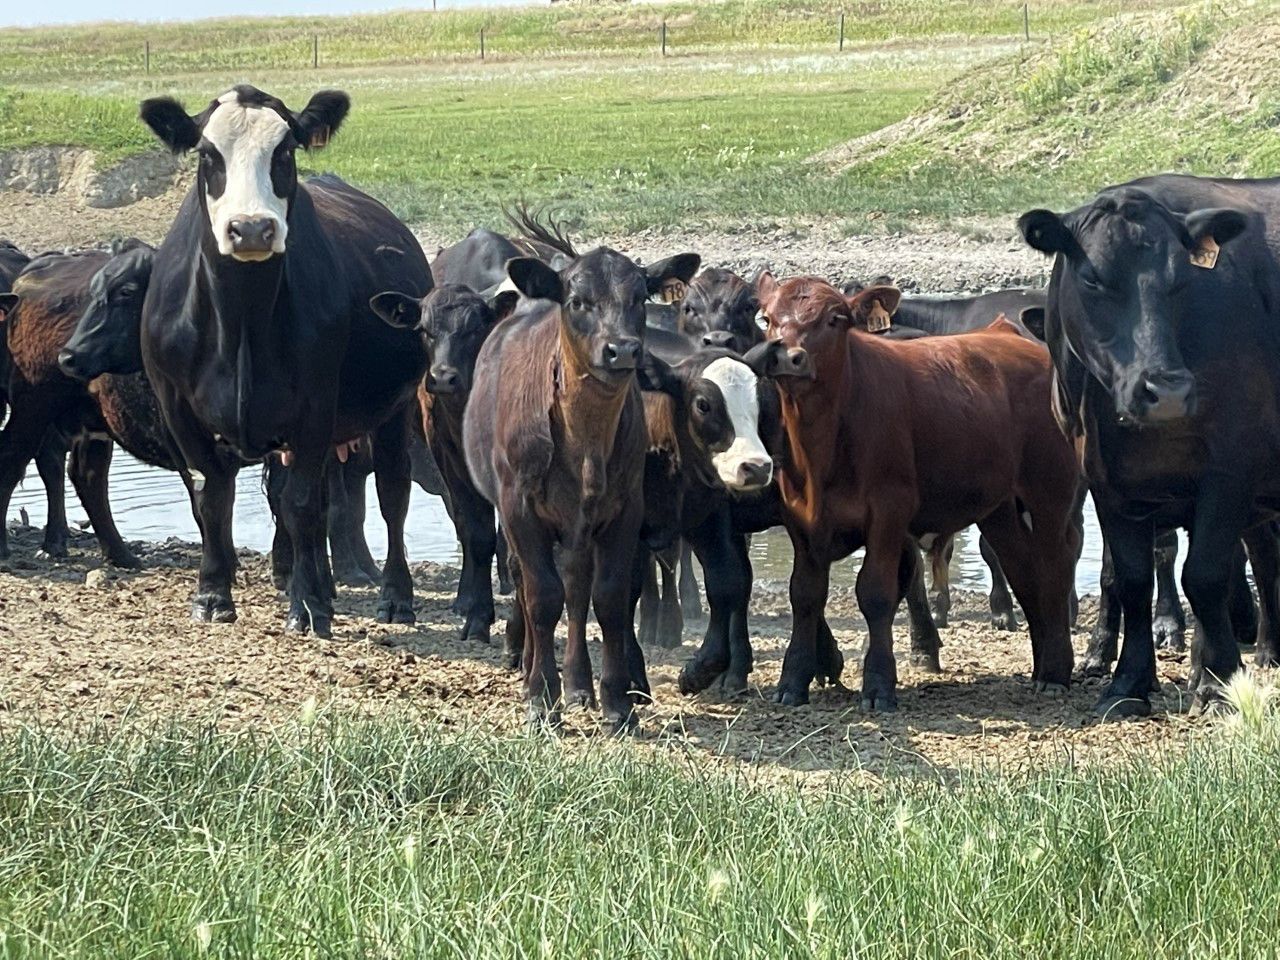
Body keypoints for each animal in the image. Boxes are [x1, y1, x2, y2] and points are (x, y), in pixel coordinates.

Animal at [136, 85, 431, 636]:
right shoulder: (177, 408)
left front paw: (308, 606)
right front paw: (213, 594)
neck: (242, 320)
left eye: (285, 151)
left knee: (391, 493)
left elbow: (301, 505)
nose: (252, 229)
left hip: (393, 409)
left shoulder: (316, 405)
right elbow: (213, 498)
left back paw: (393, 596)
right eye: (208, 155)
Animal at [370, 282, 518, 642]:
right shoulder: (449, 457)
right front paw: (478, 617)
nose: (442, 378)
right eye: (425, 330)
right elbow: (477, 533)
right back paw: (464, 600)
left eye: (475, 328)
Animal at [465, 247, 699, 730]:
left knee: (576, 585)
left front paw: (616, 702)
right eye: (578, 302)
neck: (585, 438)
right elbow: (541, 596)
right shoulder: (519, 508)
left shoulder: (625, 510)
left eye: (639, 298)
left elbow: (608, 597)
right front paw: (540, 697)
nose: (622, 349)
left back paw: (578, 685)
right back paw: (531, 670)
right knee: (526, 582)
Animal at [758, 275, 1082, 711]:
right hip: (999, 510)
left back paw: (1055, 672)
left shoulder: (889, 510)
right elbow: (805, 595)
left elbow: (876, 593)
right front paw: (792, 681)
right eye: (769, 319)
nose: (788, 357)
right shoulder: (800, 519)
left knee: (1055, 568)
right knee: (1022, 570)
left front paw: (879, 685)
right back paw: (1040, 664)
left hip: (1050, 492)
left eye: (835, 319)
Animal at [1019, 175, 1280, 715]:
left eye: (1182, 280)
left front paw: (1218, 683)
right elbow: (1131, 579)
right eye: (1093, 278)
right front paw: (1128, 683)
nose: (1168, 390)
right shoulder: (1106, 480)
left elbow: (1205, 576)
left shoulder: (1231, 467)